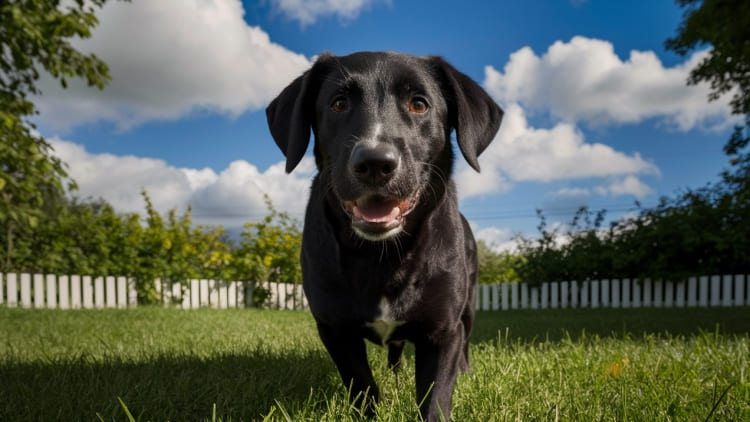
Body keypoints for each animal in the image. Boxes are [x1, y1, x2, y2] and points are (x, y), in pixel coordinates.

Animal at [268, 51, 502, 420]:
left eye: (419, 104)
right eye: (338, 103)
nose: (375, 163)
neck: (381, 256)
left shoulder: (442, 331)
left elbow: (435, 396)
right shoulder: (334, 329)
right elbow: (362, 384)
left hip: (469, 303)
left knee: (464, 340)